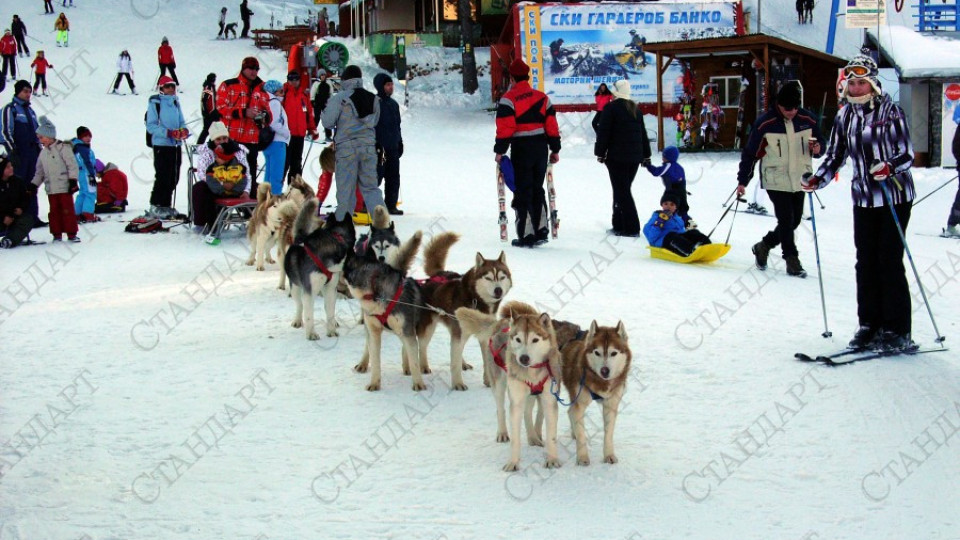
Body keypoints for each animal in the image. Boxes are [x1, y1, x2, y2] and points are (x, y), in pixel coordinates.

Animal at [288, 199, 360, 338]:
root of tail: (300, 237)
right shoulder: (309, 290)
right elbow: (308, 314)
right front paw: (311, 333)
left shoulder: (331, 288)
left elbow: (330, 311)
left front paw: (331, 330)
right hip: (295, 287)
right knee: (299, 305)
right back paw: (298, 320)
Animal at [342, 230, 424, 390]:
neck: (374, 290)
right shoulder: (374, 331)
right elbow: (375, 360)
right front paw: (374, 383)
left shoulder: (407, 330)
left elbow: (414, 360)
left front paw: (419, 384)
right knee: (368, 347)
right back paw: (363, 363)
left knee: (406, 348)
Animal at [418, 232, 510, 388]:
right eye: (489, 278)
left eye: (502, 277)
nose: (498, 290)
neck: (476, 300)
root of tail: (436, 274)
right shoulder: (459, 335)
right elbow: (454, 362)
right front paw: (458, 384)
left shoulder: (485, 335)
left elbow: (485, 360)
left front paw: (488, 380)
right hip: (430, 327)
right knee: (421, 345)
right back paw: (421, 366)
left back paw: (463, 363)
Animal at [560, 320, 632, 464]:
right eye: (597, 353)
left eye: (613, 353)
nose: (605, 370)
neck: (600, 382)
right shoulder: (580, 404)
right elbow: (582, 434)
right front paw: (582, 458)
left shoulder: (611, 404)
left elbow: (608, 434)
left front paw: (609, 455)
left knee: (569, 411)